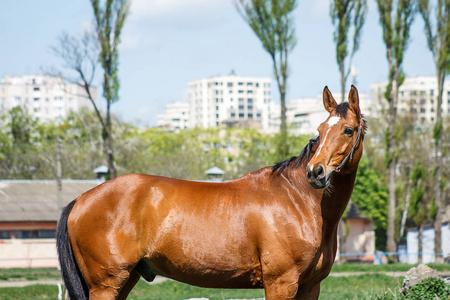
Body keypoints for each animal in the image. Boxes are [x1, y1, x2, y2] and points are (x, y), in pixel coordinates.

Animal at [56, 85, 366, 298]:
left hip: (125, 280)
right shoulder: (281, 283)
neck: (297, 200)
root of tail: (81, 200)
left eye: (348, 130)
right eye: (320, 130)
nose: (316, 173)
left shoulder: (310, 286)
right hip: (106, 284)